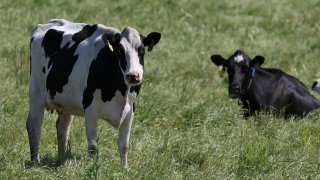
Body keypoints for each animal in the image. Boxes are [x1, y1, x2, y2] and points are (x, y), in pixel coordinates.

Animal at [26, 19, 161, 168]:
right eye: (120, 50)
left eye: (141, 50)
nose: (133, 75)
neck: (120, 92)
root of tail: (50, 22)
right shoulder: (90, 111)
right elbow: (93, 147)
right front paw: (91, 168)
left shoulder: (130, 110)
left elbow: (124, 146)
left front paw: (125, 169)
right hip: (36, 92)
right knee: (34, 125)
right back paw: (35, 160)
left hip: (65, 101)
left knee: (62, 127)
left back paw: (61, 160)